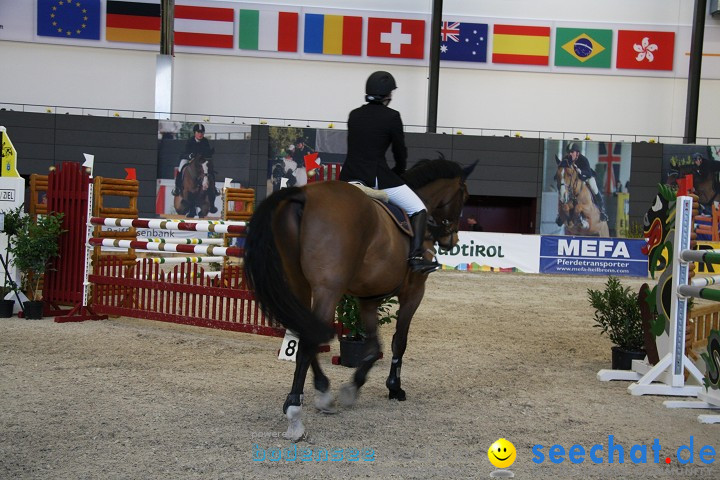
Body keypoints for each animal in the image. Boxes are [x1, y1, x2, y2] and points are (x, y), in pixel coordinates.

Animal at [245, 157, 476, 438]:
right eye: (464, 195)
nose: (452, 240)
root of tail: (303, 195)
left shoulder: (368, 297)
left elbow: (373, 346)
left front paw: (352, 387)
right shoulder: (413, 293)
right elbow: (399, 342)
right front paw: (394, 387)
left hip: (299, 285)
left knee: (303, 332)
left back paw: (323, 391)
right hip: (328, 290)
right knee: (309, 339)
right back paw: (295, 414)